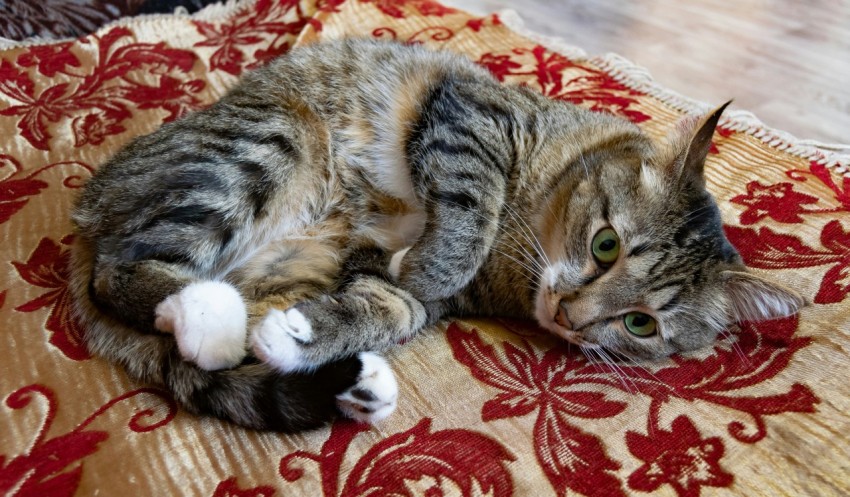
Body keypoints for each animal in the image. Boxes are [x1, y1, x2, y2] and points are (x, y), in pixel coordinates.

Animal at [68, 37, 800, 430]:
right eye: (605, 245)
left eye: (642, 324)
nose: (572, 316)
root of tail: (85, 215)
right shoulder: (472, 115)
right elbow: (470, 208)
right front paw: (434, 259)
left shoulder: (385, 274)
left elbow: (387, 305)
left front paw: (306, 334)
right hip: (270, 140)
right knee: (123, 273)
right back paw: (208, 316)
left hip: (295, 250)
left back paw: (347, 379)